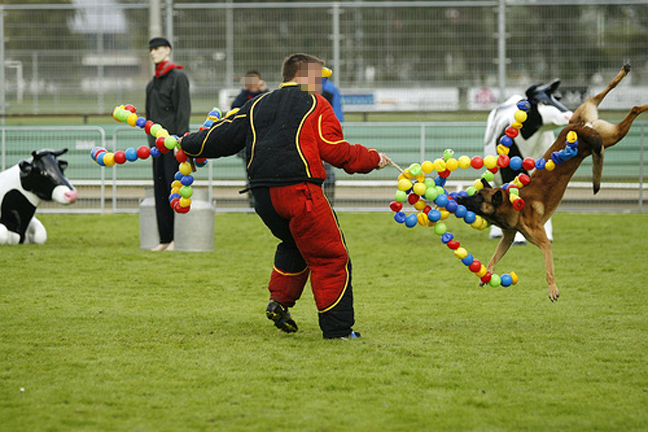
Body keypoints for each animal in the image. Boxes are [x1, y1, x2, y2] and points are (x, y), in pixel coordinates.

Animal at [486, 79, 572, 241]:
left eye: (557, 98)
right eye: (543, 102)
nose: (569, 115)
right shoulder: (509, 171)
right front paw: (519, 239)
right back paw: (495, 233)